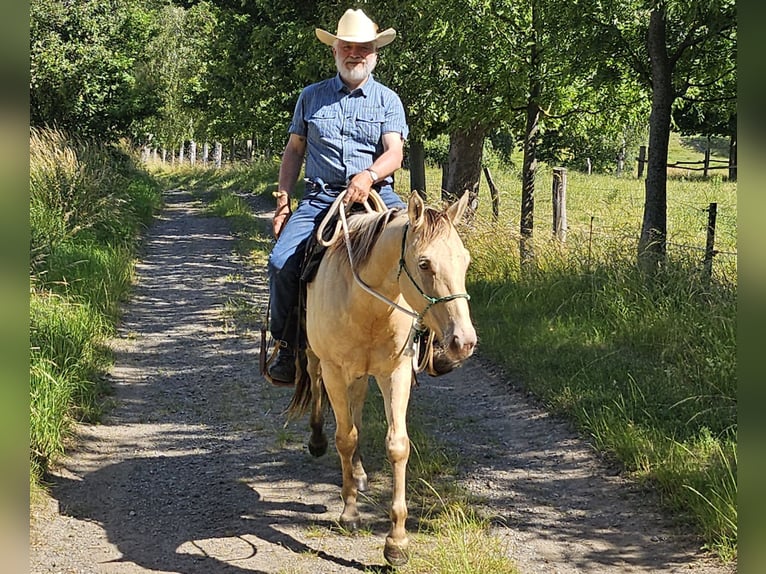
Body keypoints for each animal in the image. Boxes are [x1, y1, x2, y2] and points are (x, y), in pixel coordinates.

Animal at [287, 190, 477, 566]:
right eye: (424, 264)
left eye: (464, 261)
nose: (463, 342)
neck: (368, 304)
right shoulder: (334, 369)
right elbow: (345, 437)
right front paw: (349, 513)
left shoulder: (396, 373)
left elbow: (397, 445)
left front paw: (397, 542)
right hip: (318, 357)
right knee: (316, 382)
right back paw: (318, 440)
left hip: (363, 373)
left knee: (357, 405)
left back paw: (359, 473)